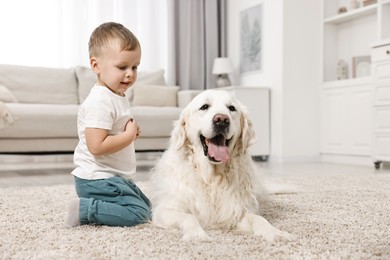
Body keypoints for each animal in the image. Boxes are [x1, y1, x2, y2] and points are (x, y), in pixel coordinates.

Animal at [149, 89, 292, 242]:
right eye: (204, 107)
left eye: (231, 108)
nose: (222, 120)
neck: (212, 178)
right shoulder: (165, 210)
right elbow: (189, 217)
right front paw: (196, 234)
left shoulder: (235, 211)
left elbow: (259, 219)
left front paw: (275, 232)